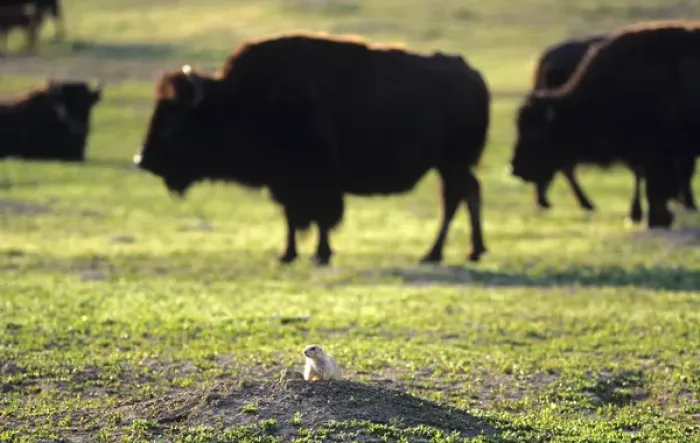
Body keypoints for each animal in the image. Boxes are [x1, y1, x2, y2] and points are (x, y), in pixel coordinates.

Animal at [134, 33, 490, 266]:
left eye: (173, 124)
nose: (142, 159)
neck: (239, 100)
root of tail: (472, 75)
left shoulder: (316, 181)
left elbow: (320, 217)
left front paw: (320, 254)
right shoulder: (284, 183)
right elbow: (292, 218)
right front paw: (287, 254)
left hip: (451, 162)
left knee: (455, 197)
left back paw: (433, 254)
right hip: (450, 164)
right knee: (468, 192)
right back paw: (472, 251)